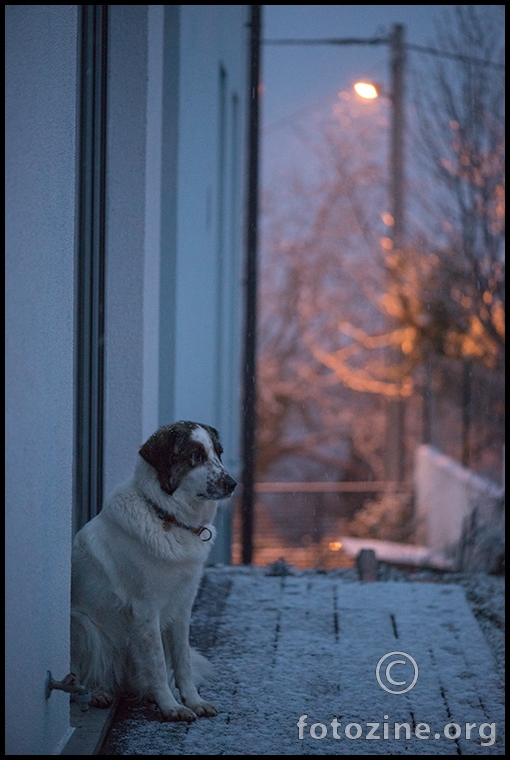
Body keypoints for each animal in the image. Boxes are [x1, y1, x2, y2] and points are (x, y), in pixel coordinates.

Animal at [70, 422, 236, 724]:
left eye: (218, 453)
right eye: (196, 456)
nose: (232, 484)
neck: (168, 517)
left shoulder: (182, 607)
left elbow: (182, 661)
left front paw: (194, 701)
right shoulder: (146, 609)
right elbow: (158, 663)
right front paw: (171, 707)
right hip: (83, 626)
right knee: (84, 673)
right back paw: (98, 692)